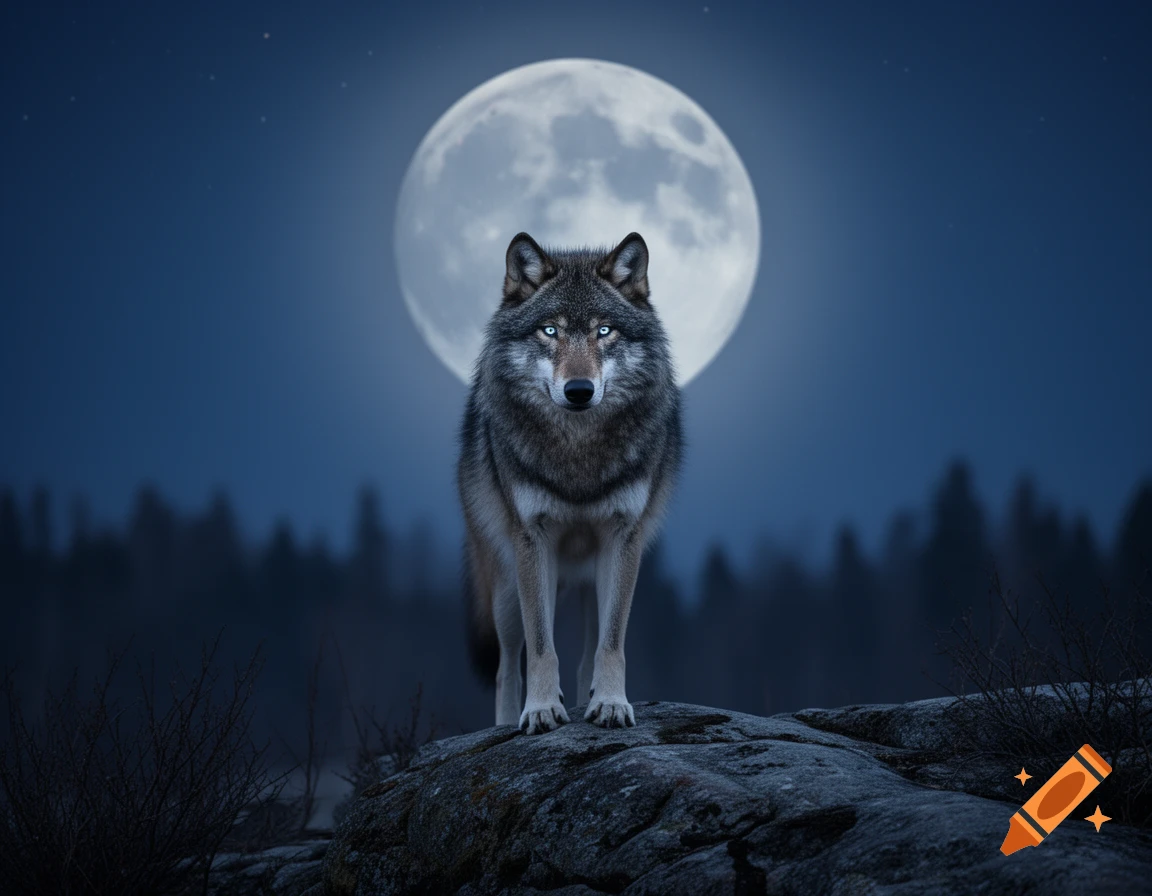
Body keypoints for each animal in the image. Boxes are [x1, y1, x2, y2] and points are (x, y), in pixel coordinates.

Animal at [457, 230, 682, 735]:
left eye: (604, 331)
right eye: (550, 331)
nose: (579, 390)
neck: (578, 457)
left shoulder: (623, 537)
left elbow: (611, 644)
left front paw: (613, 703)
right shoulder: (531, 539)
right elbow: (541, 647)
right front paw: (541, 710)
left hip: (593, 580)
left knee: (586, 656)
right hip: (505, 586)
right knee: (506, 664)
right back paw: (507, 722)